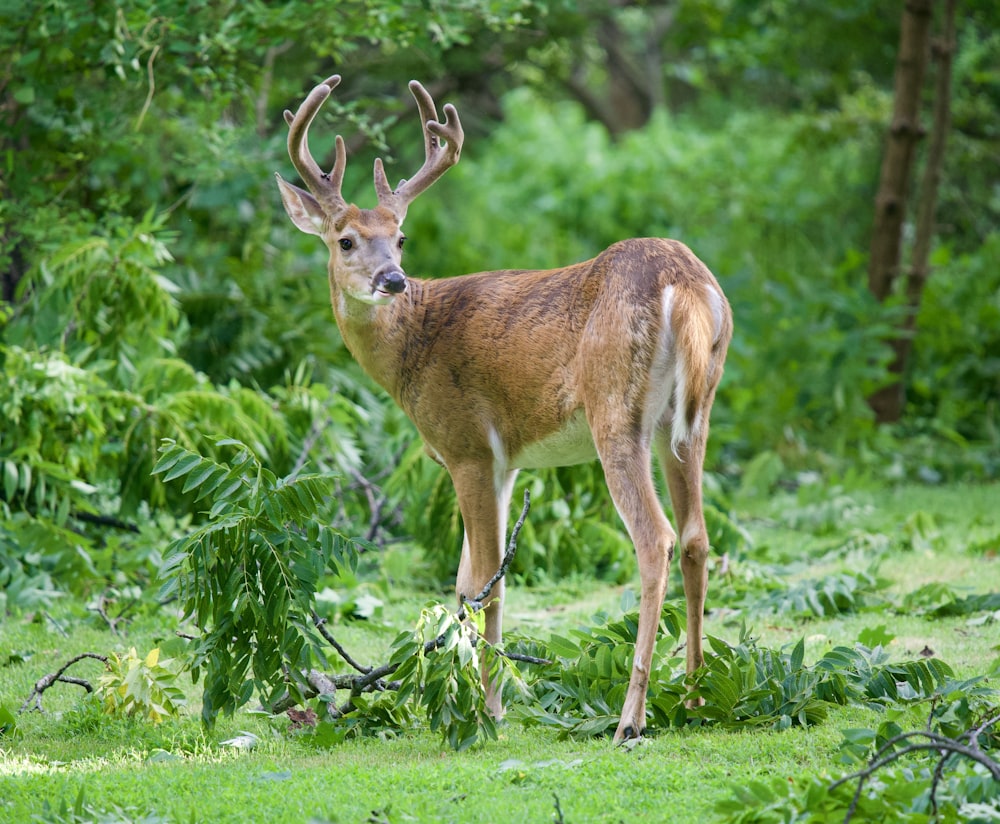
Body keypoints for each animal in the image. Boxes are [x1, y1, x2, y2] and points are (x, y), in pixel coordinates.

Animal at [278, 77, 732, 744]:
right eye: (347, 239)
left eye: (401, 238)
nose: (393, 279)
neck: (413, 346)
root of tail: (688, 285)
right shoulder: (507, 460)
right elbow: (473, 580)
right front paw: (479, 698)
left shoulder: (466, 445)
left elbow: (486, 579)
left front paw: (488, 709)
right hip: (692, 414)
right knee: (698, 536)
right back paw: (697, 696)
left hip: (615, 412)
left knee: (657, 539)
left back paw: (631, 718)